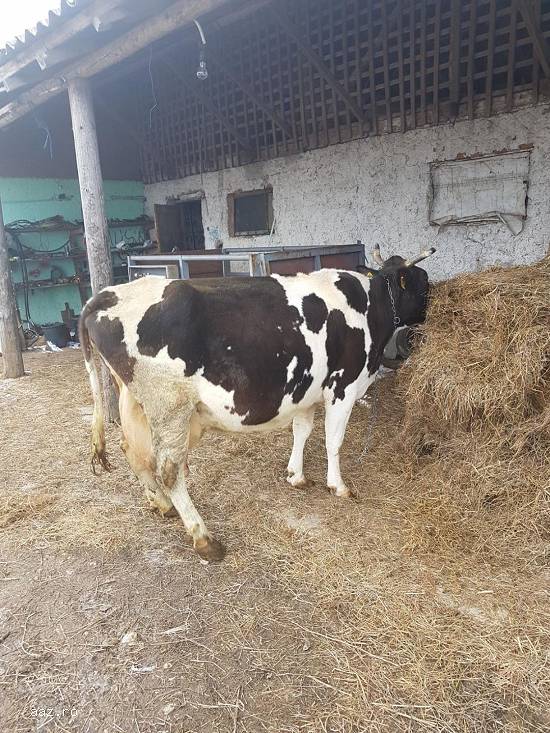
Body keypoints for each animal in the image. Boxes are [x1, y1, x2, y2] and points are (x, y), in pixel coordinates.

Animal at [79, 245, 435, 562]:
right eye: (424, 282)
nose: (435, 308)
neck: (369, 305)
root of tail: (106, 294)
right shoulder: (343, 386)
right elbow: (333, 441)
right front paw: (338, 485)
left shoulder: (306, 390)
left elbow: (302, 431)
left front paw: (296, 475)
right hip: (171, 406)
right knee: (169, 469)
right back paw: (205, 540)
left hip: (134, 401)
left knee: (133, 451)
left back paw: (162, 505)